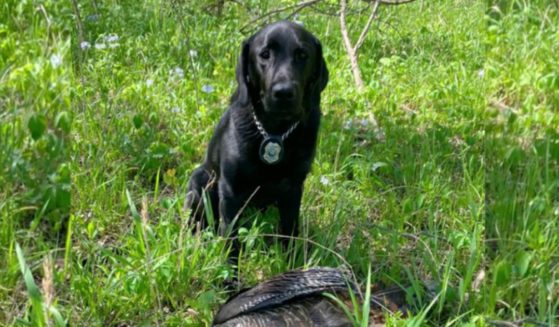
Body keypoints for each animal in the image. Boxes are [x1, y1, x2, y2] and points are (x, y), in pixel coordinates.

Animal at [187, 20, 328, 246]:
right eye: (264, 54)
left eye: (302, 55)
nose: (283, 93)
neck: (274, 132)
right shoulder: (231, 190)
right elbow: (231, 237)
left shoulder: (293, 189)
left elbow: (289, 231)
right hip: (200, 180)